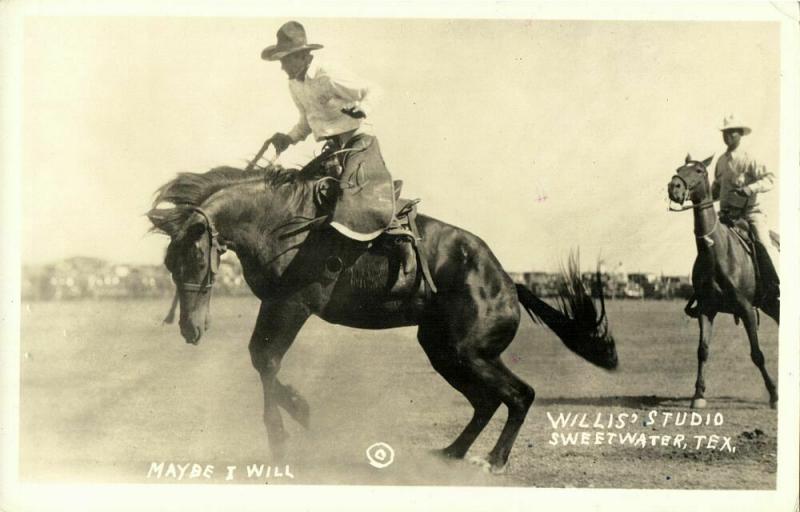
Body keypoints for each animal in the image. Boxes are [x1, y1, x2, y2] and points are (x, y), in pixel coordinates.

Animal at [664, 154, 780, 410]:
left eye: (699, 170)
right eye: (679, 168)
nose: (673, 187)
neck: (717, 252)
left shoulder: (746, 310)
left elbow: (757, 354)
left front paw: (774, 395)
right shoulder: (707, 309)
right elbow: (703, 350)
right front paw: (698, 395)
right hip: (770, 305)